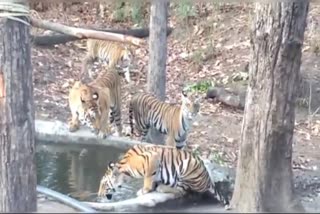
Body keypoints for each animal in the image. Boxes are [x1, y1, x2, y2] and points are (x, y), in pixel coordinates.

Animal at [96, 144, 229, 206]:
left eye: (104, 184)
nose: (98, 195)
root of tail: (208, 180)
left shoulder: (152, 159)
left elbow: (148, 179)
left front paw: (144, 190)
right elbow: (152, 178)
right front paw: (152, 186)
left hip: (187, 168)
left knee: (182, 190)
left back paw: (162, 187)